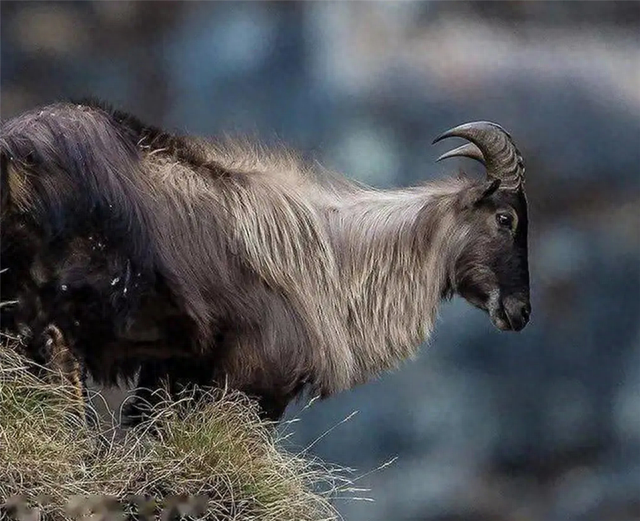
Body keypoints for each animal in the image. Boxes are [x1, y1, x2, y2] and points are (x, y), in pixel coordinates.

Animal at [0, 99, 528, 420]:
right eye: (506, 218)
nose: (519, 311)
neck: (330, 262)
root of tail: (17, 148)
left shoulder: (173, 374)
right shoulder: (255, 378)